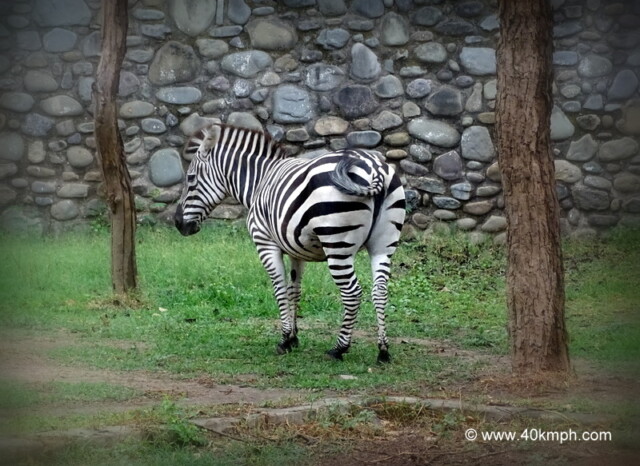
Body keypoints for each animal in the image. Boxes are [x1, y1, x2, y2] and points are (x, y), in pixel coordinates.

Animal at [174, 123, 406, 363]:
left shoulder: (265, 243)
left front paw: (285, 339)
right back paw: (383, 350)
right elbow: (294, 290)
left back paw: (339, 348)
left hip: (337, 244)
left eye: (190, 178)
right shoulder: (296, 250)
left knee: (352, 293)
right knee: (380, 291)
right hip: (384, 245)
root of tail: (374, 167)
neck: (260, 181)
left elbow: (279, 289)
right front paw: (294, 338)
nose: (178, 223)